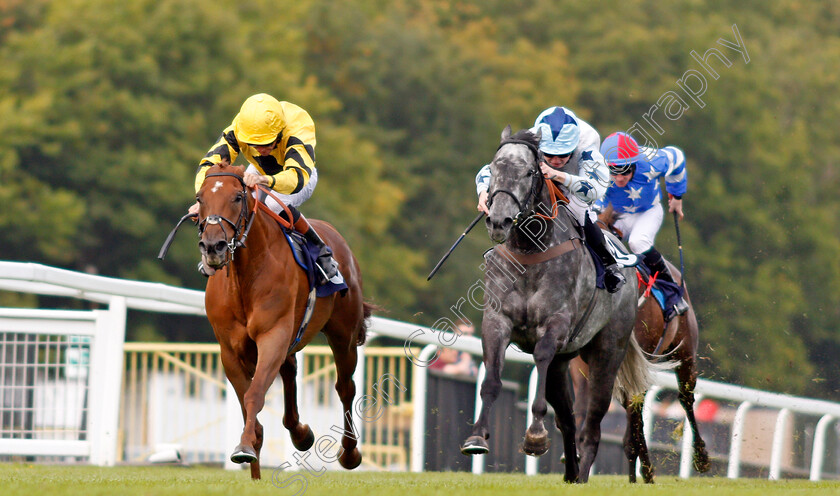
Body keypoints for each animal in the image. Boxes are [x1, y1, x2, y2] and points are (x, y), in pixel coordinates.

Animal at [195, 165, 372, 478]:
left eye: (238, 197)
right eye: (200, 198)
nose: (213, 246)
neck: (244, 278)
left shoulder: (272, 335)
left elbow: (254, 395)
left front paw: (244, 448)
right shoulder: (230, 349)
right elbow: (248, 403)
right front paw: (252, 456)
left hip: (343, 333)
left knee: (344, 387)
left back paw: (349, 453)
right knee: (290, 370)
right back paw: (300, 434)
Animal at [460, 126, 648, 482]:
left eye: (529, 172)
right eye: (494, 167)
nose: (499, 220)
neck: (530, 250)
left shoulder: (556, 326)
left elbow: (541, 357)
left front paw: (535, 436)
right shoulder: (496, 322)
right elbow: (491, 380)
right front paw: (476, 437)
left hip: (606, 354)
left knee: (591, 425)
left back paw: (582, 472)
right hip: (566, 364)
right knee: (568, 420)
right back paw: (571, 472)